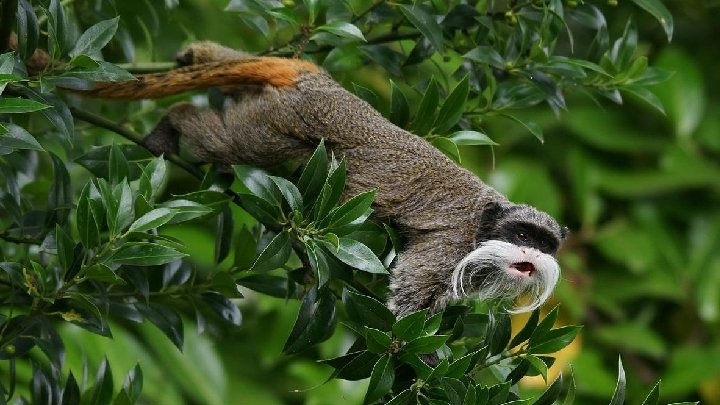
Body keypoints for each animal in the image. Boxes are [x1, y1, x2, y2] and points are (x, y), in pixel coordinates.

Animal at [69, 42, 568, 318]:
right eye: (522, 235)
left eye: (543, 244)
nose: (529, 254)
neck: (486, 224)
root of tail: (322, 86)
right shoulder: (454, 242)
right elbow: (411, 290)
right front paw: (416, 356)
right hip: (288, 119)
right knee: (232, 143)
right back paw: (172, 123)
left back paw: (195, 55)